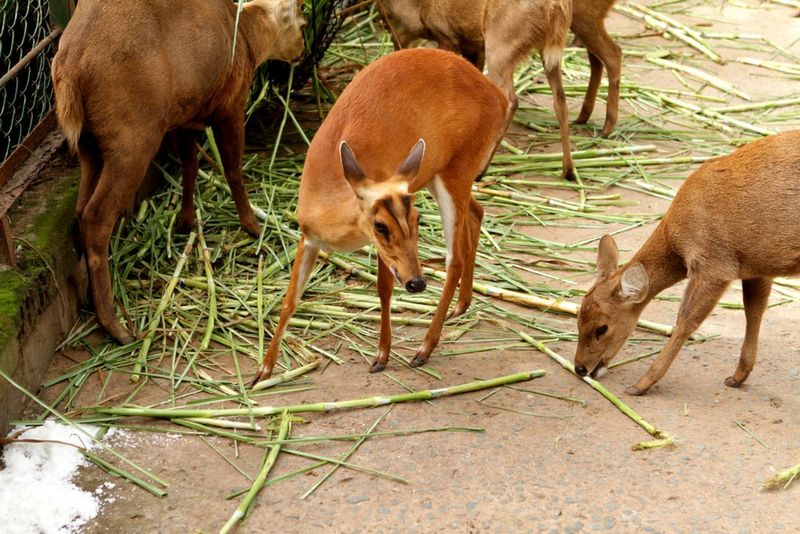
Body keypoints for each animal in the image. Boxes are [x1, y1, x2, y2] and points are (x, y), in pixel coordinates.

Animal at [50, 0, 306, 346]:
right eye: (303, 23)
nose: (302, 51)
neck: (246, 38)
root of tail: (69, 67)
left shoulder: (186, 114)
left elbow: (190, 165)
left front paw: (185, 221)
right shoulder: (231, 101)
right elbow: (233, 169)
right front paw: (253, 227)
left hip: (89, 143)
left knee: (79, 209)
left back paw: (95, 302)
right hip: (132, 135)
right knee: (96, 215)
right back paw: (117, 326)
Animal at [250, 48, 510, 386]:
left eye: (417, 220)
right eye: (380, 225)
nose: (417, 283)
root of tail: (499, 98)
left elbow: (383, 289)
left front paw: (382, 356)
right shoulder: (309, 237)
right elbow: (289, 300)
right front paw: (262, 371)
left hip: (455, 173)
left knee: (455, 257)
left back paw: (423, 350)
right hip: (437, 174)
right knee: (477, 214)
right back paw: (460, 308)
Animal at [572, 130, 800, 398]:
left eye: (602, 328)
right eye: (577, 317)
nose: (580, 368)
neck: (675, 235)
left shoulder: (714, 265)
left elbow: (686, 320)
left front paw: (641, 384)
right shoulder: (755, 267)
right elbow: (754, 310)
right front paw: (737, 376)